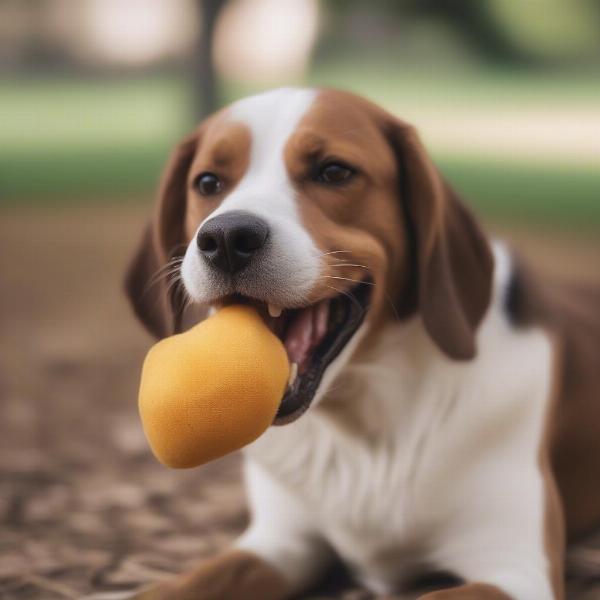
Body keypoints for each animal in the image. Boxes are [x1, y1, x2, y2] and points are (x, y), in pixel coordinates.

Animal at [124, 86, 600, 596]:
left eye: (334, 171)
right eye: (208, 182)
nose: (227, 236)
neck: (362, 426)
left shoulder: (514, 572)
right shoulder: (281, 544)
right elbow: (179, 585)